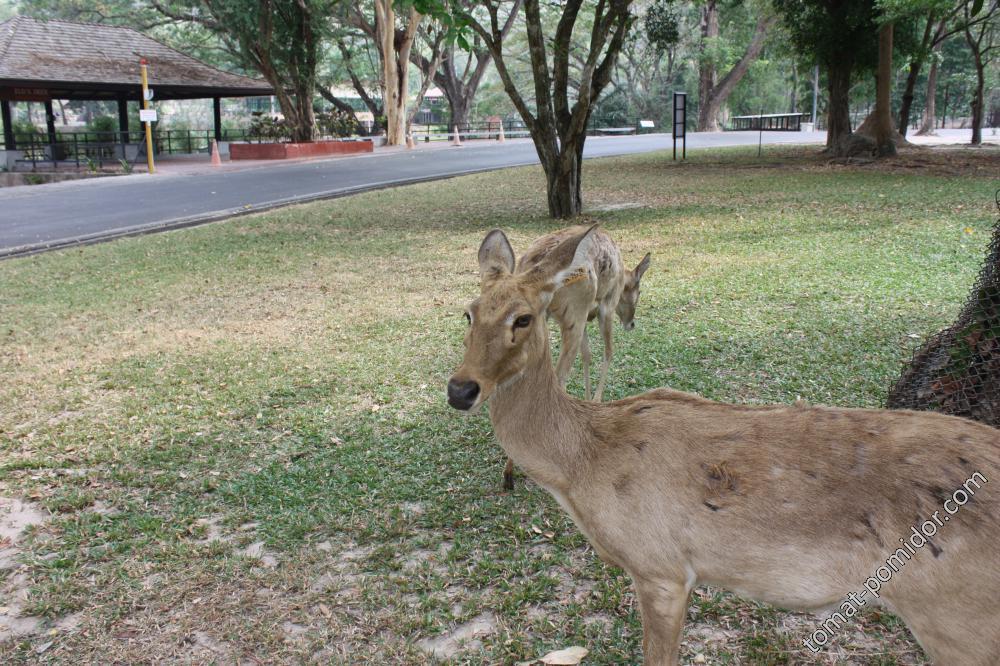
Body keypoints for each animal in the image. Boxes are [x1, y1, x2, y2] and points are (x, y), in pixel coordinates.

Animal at [500, 227, 648, 488]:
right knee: (559, 377)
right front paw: (596, 403)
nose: (631, 324)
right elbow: (607, 352)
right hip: (573, 316)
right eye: (639, 291)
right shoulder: (604, 306)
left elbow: (587, 355)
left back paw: (510, 470)